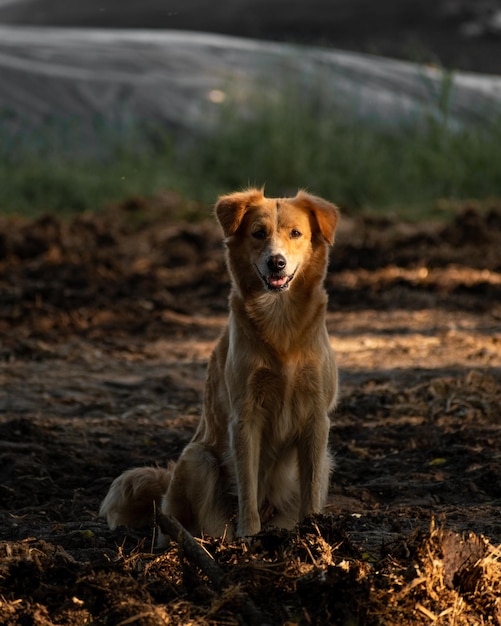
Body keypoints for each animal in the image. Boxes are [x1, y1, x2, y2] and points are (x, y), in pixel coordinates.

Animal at [99, 186, 338, 536]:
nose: (276, 262)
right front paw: (248, 535)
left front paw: (313, 530)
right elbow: (248, 486)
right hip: (199, 458)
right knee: (192, 522)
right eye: (258, 233)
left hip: (324, 461)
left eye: (296, 233)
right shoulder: (245, 416)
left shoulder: (316, 418)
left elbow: (310, 487)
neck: (280, 320)